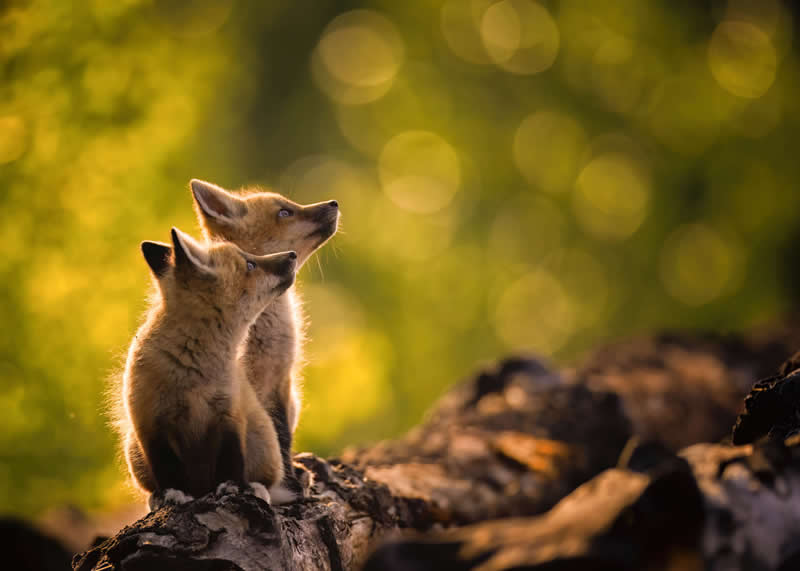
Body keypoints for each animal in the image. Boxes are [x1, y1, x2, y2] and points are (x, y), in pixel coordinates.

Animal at [120, 227, 297, 503]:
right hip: (134, 450)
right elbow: (166, 467)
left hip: (264, 443)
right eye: (250, 264)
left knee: (267, 482)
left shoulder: (228, 414)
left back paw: (256, 489)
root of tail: (202, 487)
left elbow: (232, 459)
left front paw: (232, 487)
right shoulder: (150, 422)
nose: (292, 254)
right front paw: (172, 492)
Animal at [189, 179, 339, 490]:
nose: (334, 203)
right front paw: (284, 483)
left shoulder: (280, 381)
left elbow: (282, 436)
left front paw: (291, 476)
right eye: (284, 213)